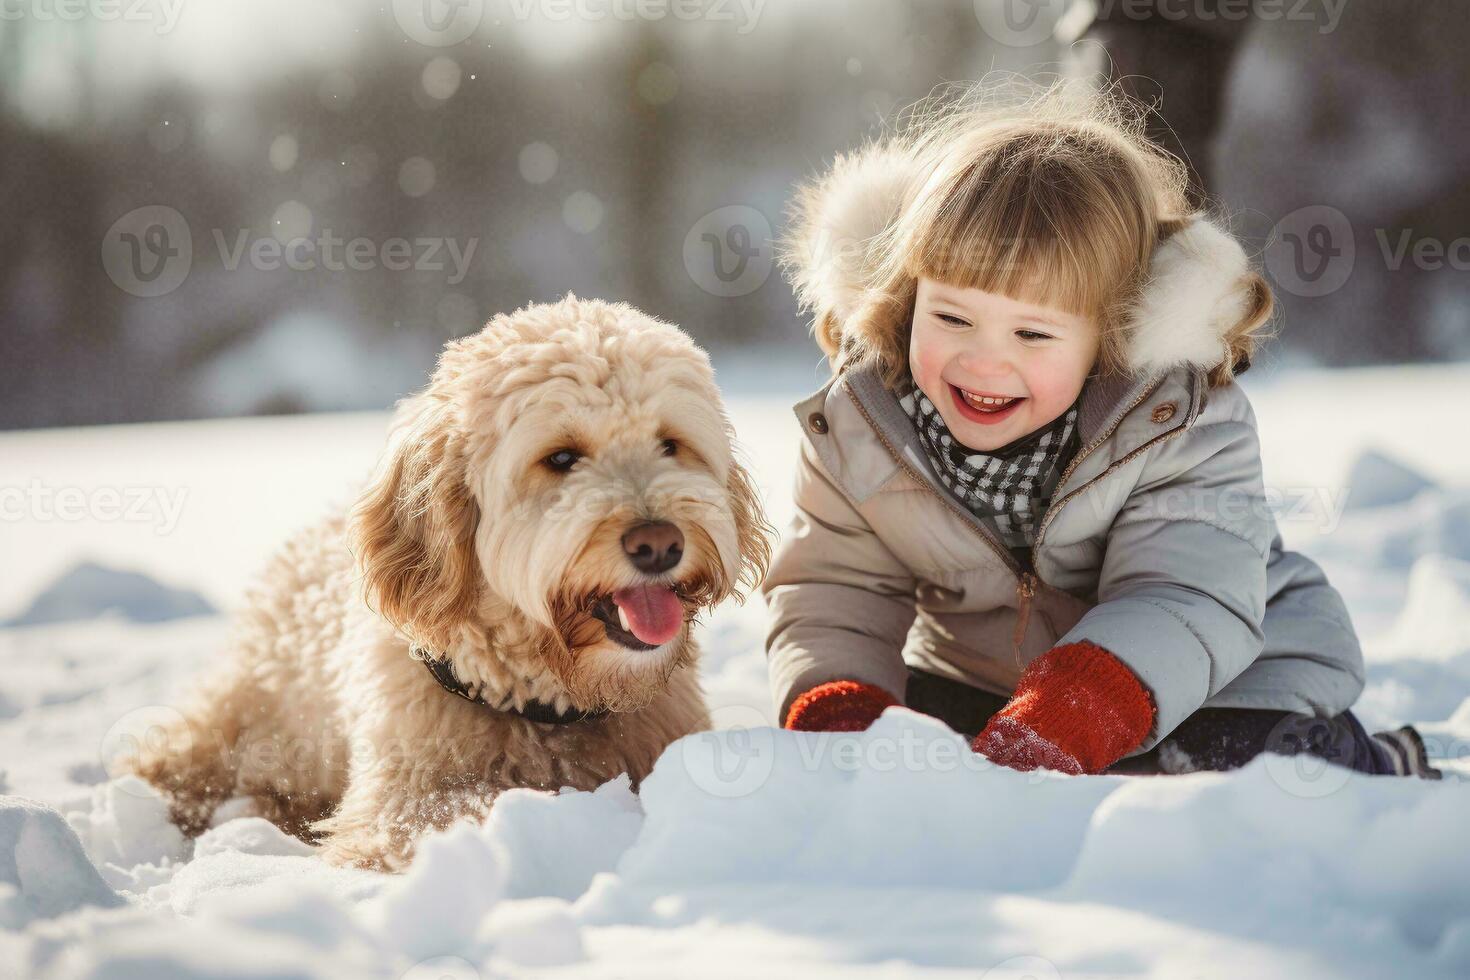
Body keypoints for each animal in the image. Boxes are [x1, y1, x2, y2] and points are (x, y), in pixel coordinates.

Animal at [127, 295, 776, 869]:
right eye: (562, 458)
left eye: (670, 444)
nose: (660, 543)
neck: (544, 704)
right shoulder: (398, 806)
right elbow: (462, 807)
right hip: (248, 715)